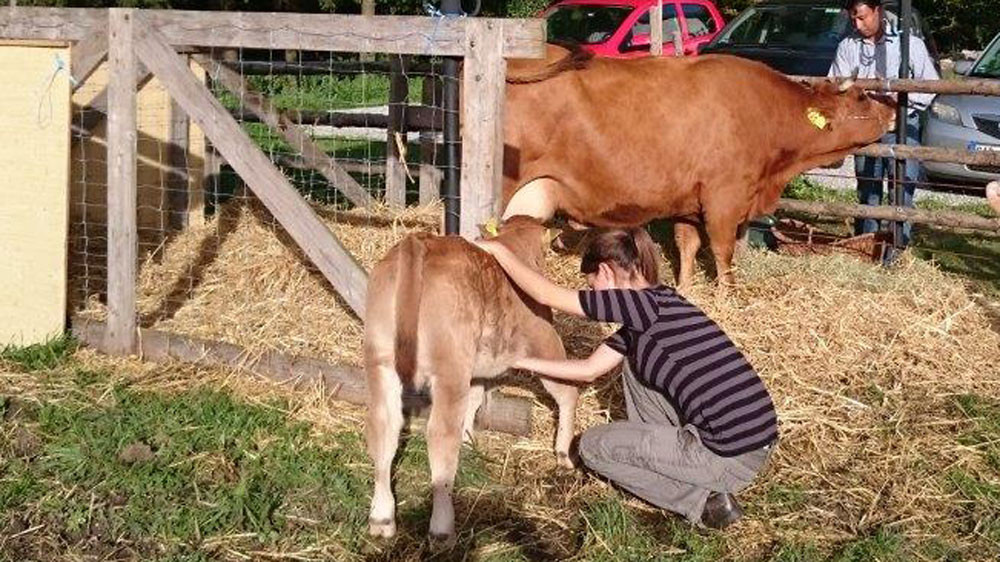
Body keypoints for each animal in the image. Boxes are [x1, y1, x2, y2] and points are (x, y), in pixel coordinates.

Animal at [364, 214, 580, 540]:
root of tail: (418, 242)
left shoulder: (477, 368)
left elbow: (476, 398)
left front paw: (469, 442)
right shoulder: (544, 340)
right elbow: (567, 392)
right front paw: (564, 454)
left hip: (381, 362)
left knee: (383, 428)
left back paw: (382, 518)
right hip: (449, 369)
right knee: (440, 435)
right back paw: (442, 527)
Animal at [504, 45, 896, 286]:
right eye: (863, 96)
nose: (893, 105)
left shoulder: (688, 201)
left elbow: (687, 247)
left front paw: (686, 287)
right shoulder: (724, 200)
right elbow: (723, 252)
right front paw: (728, 294)